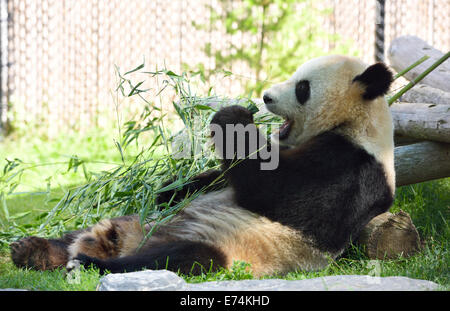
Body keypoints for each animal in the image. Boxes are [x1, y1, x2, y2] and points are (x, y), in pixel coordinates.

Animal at [10, 55, 394, 278]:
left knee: (175, 258)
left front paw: (234, 115)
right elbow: (213, 180)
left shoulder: (351, 167)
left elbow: (278, 193)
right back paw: (32, 249)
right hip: (131, 220)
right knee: (77, 234)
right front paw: (165, 188)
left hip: (228, 246)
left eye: (302, 87)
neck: (357, 123)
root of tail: (128, 241)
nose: (266, 97)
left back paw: (90, 263)